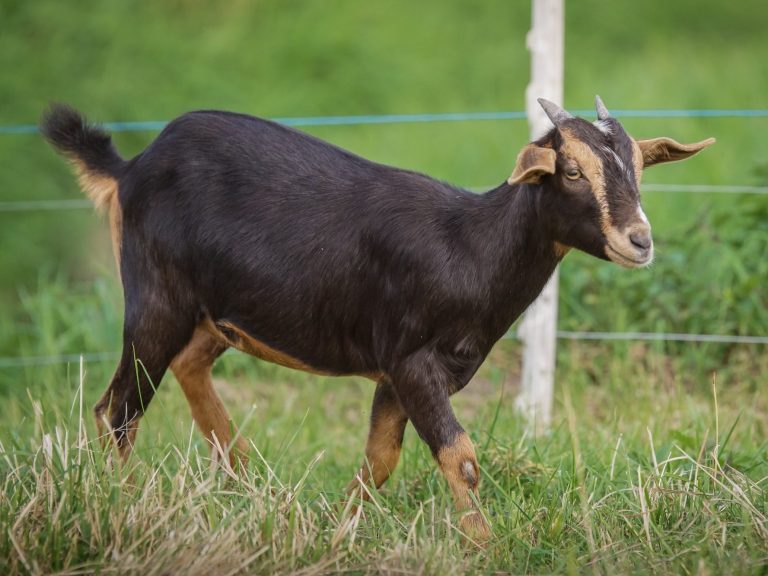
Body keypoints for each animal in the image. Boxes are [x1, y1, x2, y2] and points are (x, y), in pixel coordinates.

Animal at [41, 97, 713, 539]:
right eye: (571, 170)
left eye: (638, 167)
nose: (639, 241)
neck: (469, 245)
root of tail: (130, 169)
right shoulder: (413, 362)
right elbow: (461, 457)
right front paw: (485, 548)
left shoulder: (397, 373)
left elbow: (381, 459)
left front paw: (332, 530)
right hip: (157, 297)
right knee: (116, 409)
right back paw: (128, 508)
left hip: (216, 315)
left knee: (186, 366)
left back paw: (247, 478)